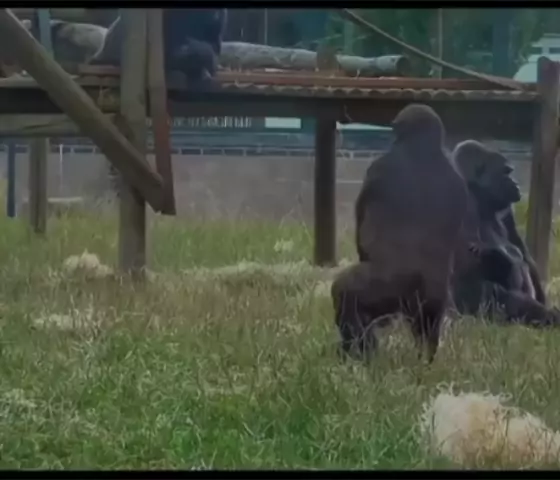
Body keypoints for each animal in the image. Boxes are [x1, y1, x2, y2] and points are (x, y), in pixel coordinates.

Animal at [334, 103, 469, 364]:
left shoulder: (379, 167)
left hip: (385, 286)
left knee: (345, 294)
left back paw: (357, 350)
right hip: (431, 298)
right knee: (428, 326)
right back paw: (423, 359)